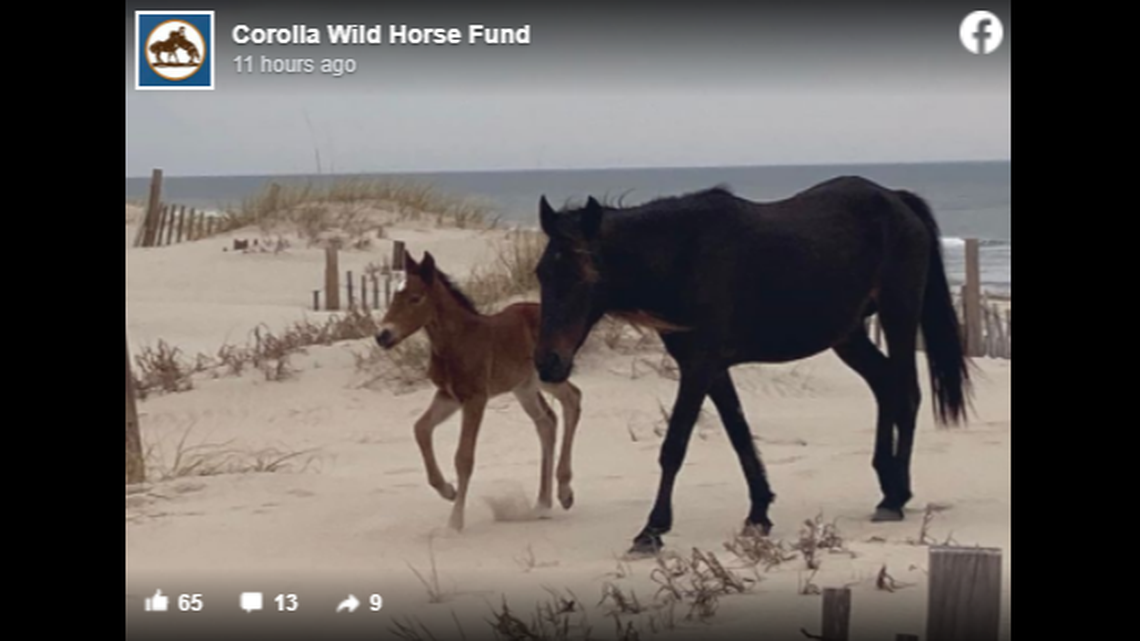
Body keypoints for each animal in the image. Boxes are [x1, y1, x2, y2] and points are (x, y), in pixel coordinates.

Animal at [375, 251, 583, 532]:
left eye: (415, 298)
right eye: (394, 296)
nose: (382, 336)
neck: (457, 341)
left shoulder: (476, 398)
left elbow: (464, 457)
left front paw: (455, 522)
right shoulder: (449, 396)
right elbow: (421, 429)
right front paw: (447, 490)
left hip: (547, 378)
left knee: (573, 399)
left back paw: (564, 491)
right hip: (524, 387)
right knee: (547, 421)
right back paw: (542, 504)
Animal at [532, 176, 973, 555]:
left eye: (584, 276)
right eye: (541, 273)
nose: (548, 363)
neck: (684, 255)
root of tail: (896, 199)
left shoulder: (700, 365)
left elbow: (675, 445)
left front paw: (652, 530)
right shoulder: (708, 366)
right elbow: (739, 433)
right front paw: (760, 512)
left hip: (899, 314)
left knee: (907, 394)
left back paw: (897, 495)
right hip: (848, 334)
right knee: (884, 386)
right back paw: (886, 487)